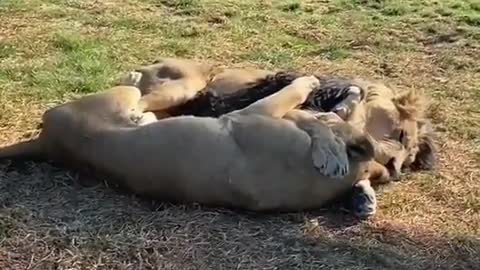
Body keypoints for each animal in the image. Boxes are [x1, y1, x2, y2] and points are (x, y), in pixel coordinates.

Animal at [0, 76, 378, 213]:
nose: (355, 90)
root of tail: (48, 142)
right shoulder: (257, 113)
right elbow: (304, 108)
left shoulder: (253, 114)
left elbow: (303, 109)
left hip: (125, 97)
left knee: (146, 97)